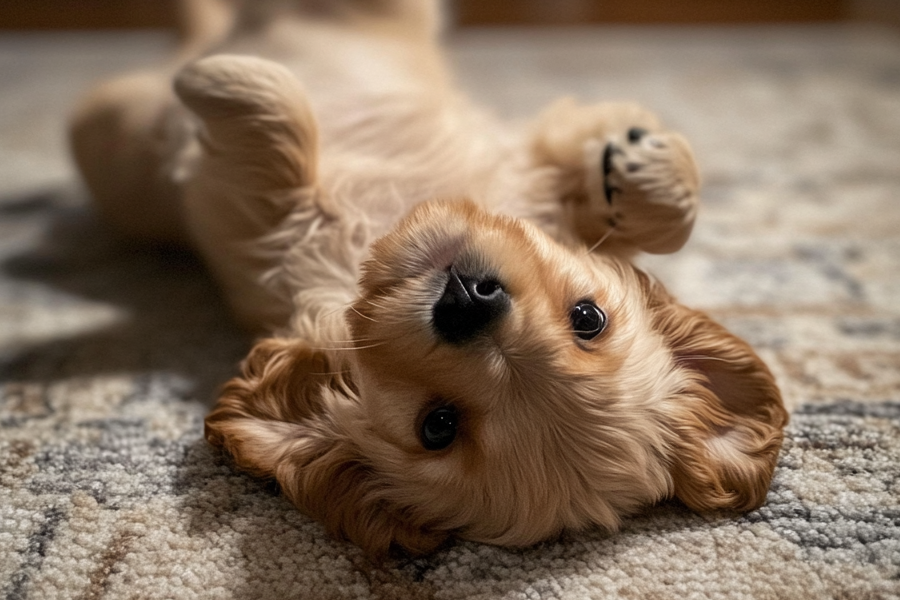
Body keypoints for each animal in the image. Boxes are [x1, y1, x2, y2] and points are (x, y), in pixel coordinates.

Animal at [70, 0, 788, 556]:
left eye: (437, 427)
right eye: (590, 319)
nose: (468, 300)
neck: (387, 223)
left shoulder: (237, 206)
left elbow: (270, 123)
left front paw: (215, 81)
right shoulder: (532, 156)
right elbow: (666, 212)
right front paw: (642, 170)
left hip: (106, 127)